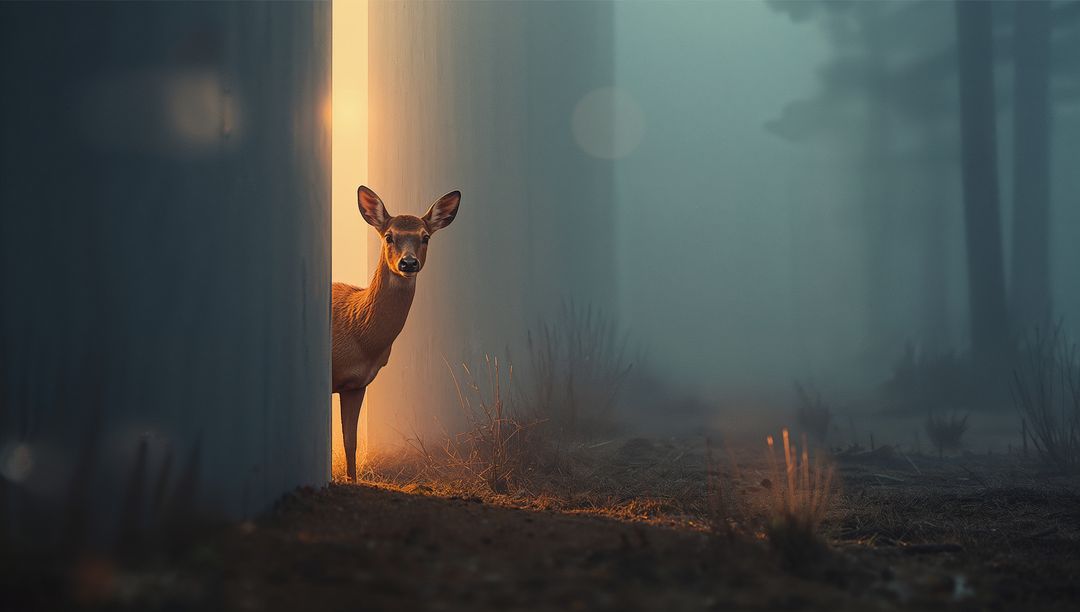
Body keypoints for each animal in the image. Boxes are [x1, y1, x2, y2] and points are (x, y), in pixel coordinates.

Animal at [332, 185, 461, 481]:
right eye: (389, 236)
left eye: (425, 237)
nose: (408, 263)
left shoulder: (357, 384)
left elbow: (350, 441)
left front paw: (353, 480)